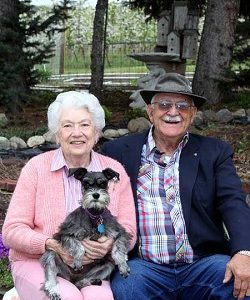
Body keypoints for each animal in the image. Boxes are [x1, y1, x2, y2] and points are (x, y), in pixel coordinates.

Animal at [40, 168, 133, 298]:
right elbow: (79, 247)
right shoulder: (65, 234)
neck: (95, 216)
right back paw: (53, 290)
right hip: (52, 254)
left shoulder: (120, 233)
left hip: (107, 265)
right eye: (86, 183)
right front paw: (78, 261)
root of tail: (72, 278)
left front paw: (123, 266)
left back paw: (92, 281)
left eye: (103, 183)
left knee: (81, 282)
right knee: (50, 274)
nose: (96, 195)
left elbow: (118, 249)